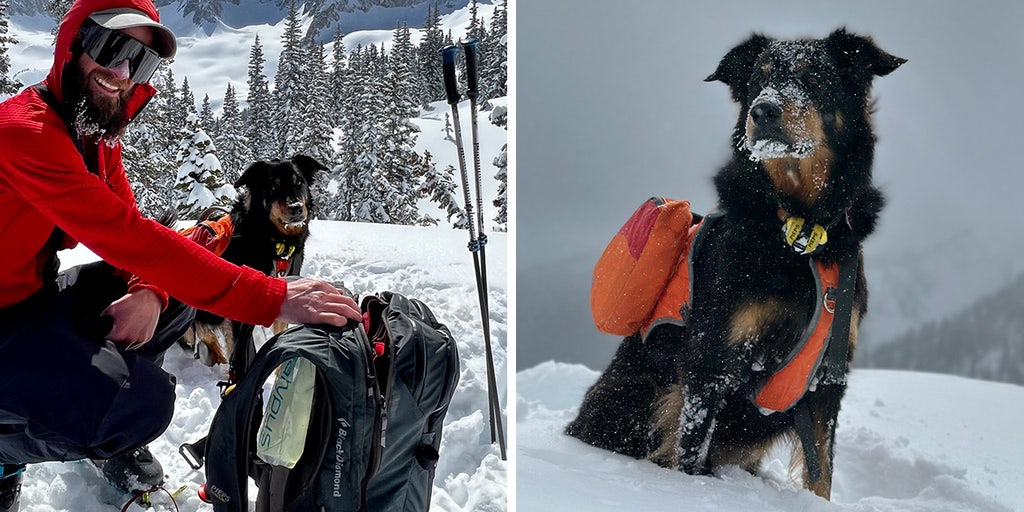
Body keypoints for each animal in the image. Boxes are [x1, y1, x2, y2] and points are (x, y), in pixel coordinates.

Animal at [565, 29, 909, 497]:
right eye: (757, 80)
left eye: (813, 77)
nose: (762, 111)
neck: (799, 232)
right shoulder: (711, 361)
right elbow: (690, 455)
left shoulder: (827, 380)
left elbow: (821, 472)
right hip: (636, 396)